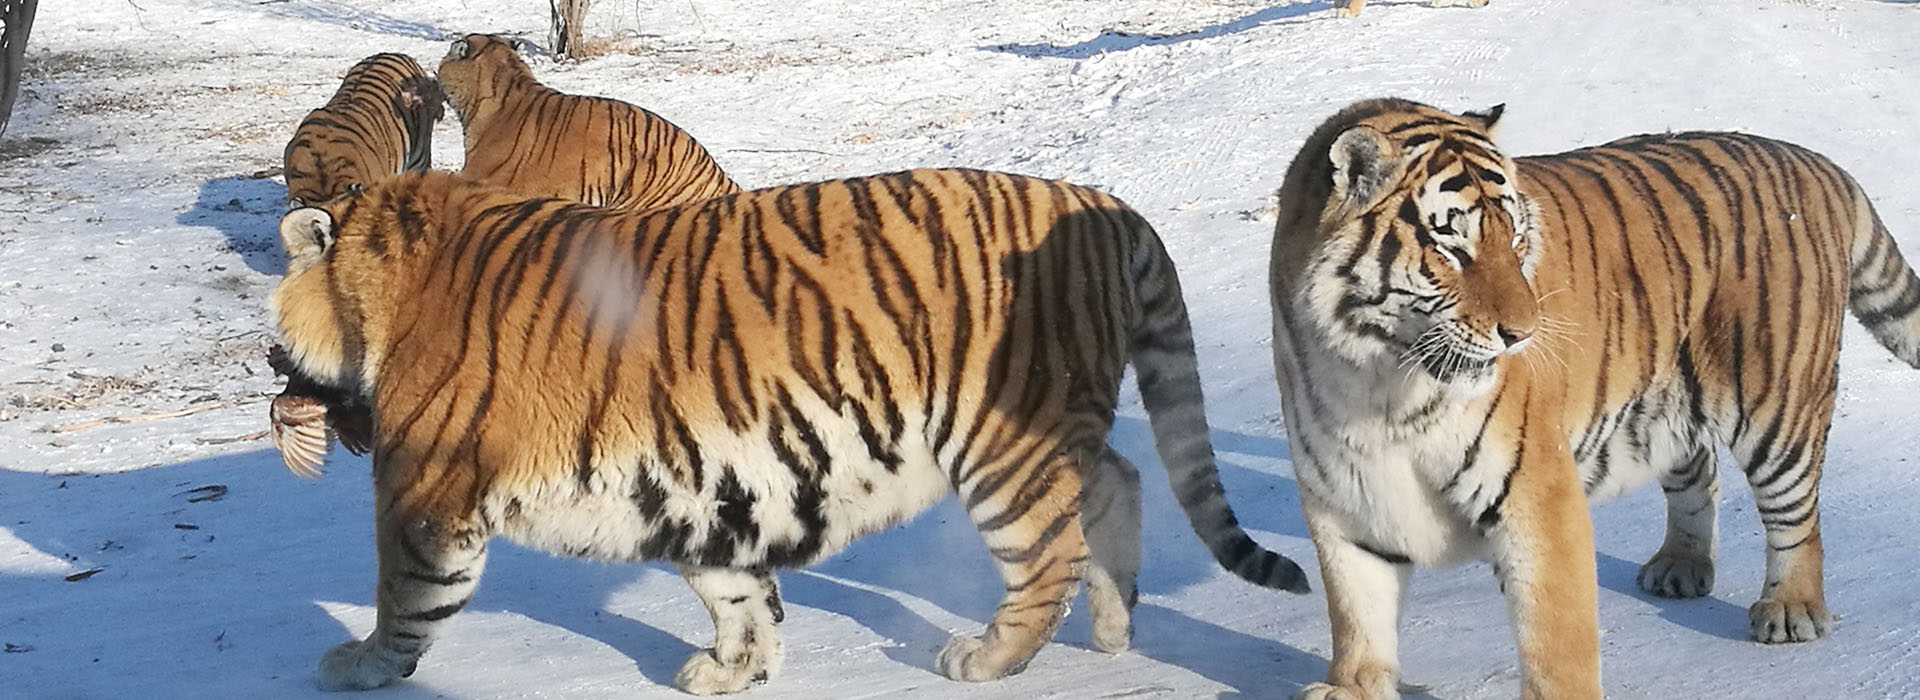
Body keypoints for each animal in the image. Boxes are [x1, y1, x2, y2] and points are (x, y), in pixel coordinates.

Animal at [270, 165, 1313, 690]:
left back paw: (990, 656)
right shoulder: (693, 477)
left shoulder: (426, 489)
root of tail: (1110, 207)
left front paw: (356, 664)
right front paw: (737, 669)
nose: (274, 374)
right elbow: (733, 589)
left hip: (1004, 439)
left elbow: (406, 599)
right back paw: (1114, 623)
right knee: (1119, 482)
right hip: (1055, 420)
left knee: (1049, 547)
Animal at [1267, 98, 1912, 698]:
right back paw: (1681, 565)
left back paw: (1791, 608)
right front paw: (1350, 688)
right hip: (1668, 398)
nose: (1522, 333)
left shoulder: (1537, 494)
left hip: (1776, 402)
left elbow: (1558, 636)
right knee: (1698, 468)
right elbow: (1357, 610)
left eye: (1516, 238)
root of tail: (1815, 162)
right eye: (1453, 246)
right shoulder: (1346, 498)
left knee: (1796, 511)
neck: (1376, 382)